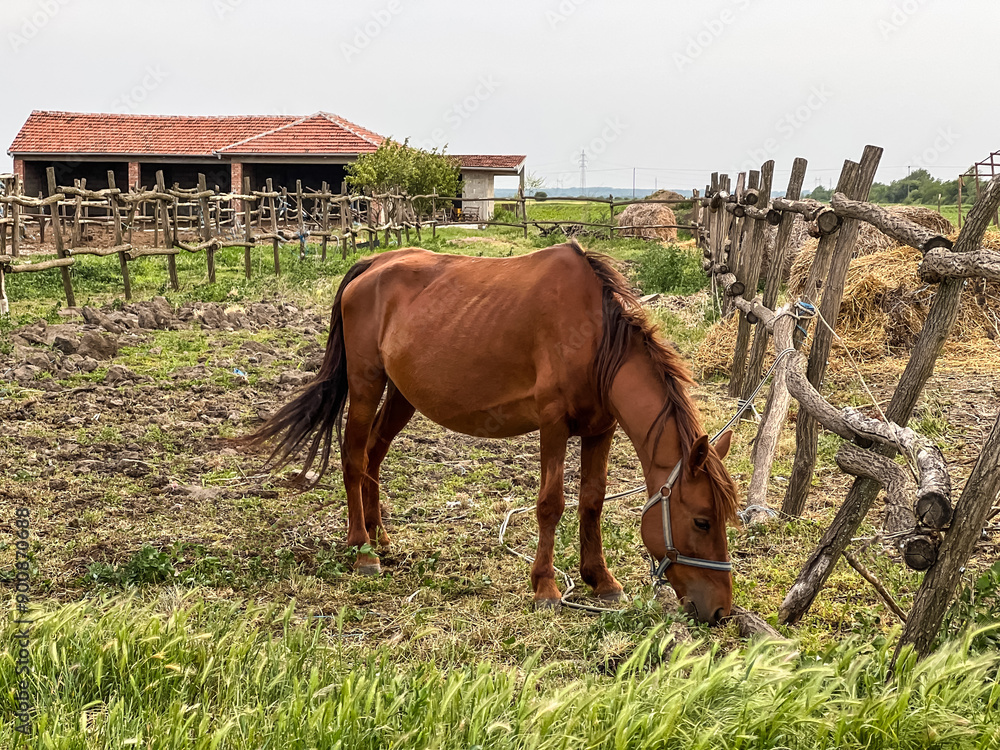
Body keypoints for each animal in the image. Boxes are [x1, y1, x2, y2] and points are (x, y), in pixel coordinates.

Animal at [239, 240, 739, 623]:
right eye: (702, 520)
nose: (720, 611)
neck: (597, 340)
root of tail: (373, 264)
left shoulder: (601, 428)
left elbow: (592, 502)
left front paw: (601, 580)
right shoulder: (553, 424)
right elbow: (551, 505)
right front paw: (546, 588)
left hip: (402, 394)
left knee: (374, 457)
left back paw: (382, 537)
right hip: (366, 384)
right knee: (354, 457)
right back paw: (363, 550)